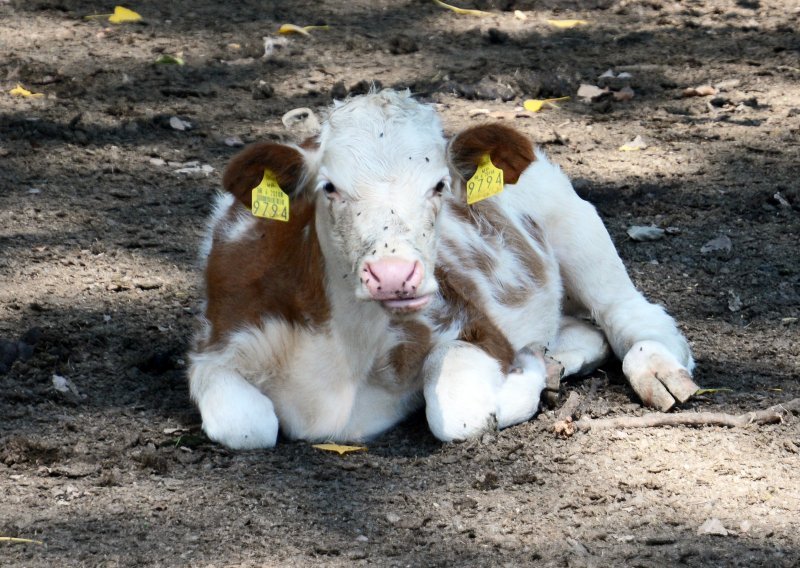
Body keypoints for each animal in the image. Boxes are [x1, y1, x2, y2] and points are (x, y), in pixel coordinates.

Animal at [189, 89, 700, 448]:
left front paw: (528, 378)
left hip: (574, 222)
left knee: (630, 314)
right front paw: (541, 369)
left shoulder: (475, 324)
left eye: (439, 185)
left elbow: (459, 412)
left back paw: (658, 370)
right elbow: (247, 426)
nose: (394, 275)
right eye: (329, 187)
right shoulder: (214, 349)